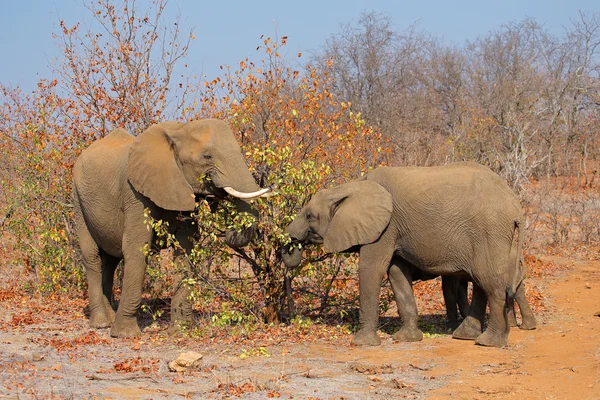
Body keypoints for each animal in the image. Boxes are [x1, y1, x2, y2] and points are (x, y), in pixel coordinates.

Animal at [72, 119, 270, 338]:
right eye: (207, 156)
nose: (229, 231)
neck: (178, 131)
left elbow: (186, 249)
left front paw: (181, 330)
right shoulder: (134, 193)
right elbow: (137, 247)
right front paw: (125, 334)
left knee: (110, 261)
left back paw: (109, 317)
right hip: (78, 201)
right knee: (93, 258)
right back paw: (101, 323)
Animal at [282, 162, 528, 346]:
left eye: (310, 216)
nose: (290, 243)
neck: (353, 186)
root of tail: (515, 205)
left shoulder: (385, 227)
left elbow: (372, 269)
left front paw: (362, 343)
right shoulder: (395, 230)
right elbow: (396, 273)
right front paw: (407, 339)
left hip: (489, 231)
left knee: (490, 282)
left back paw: (489, 343)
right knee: (480, 281)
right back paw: (465, 336)